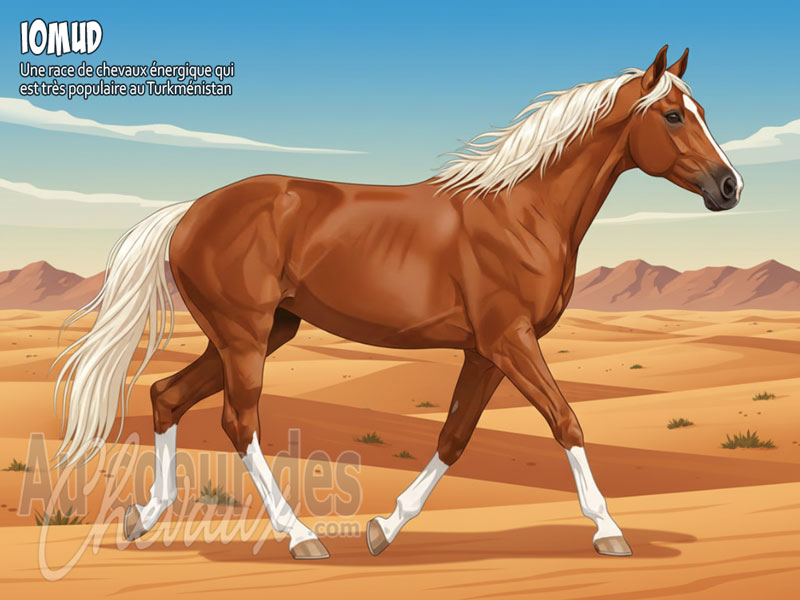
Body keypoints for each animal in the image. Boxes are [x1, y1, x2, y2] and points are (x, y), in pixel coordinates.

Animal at [53, 45, 742, 560]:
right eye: (673, 116)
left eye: (702, 110)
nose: (730, 187)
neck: (522, 209)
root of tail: (190, 211)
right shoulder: (511, 340)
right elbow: (566, 421)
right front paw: (608, 531)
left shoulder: (486, 352)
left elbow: (454, 437)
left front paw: (383, 528)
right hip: (244, 336)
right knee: (239, 422)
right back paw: (299, 537)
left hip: (263, 332)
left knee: (166, 395)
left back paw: (143, 519)